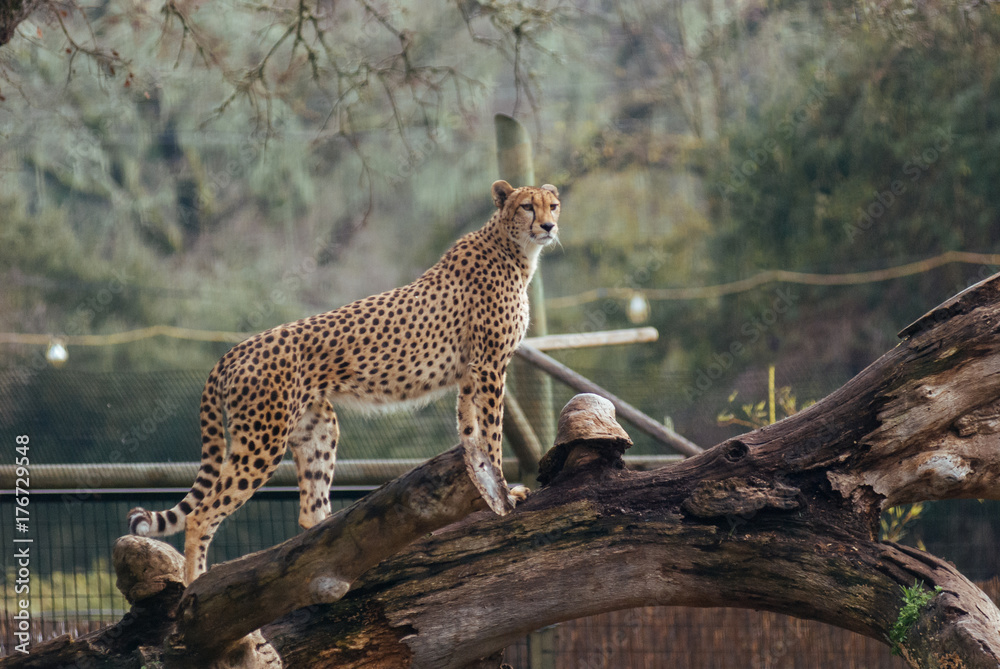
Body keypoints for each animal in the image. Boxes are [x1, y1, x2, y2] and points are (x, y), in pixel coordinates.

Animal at [127, 180, 561, 584]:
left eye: (553, 205)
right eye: (527, 206)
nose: (549, 226)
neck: (513, 248)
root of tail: (237, 348)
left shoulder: (471, 372)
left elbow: (471, 431)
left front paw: (486, 484)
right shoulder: (489, 366)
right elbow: (492, 432)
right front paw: (505, 492)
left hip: (318, 427)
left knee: (310, 515)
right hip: (261, 440)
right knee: (201, 515)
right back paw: (194, 588)